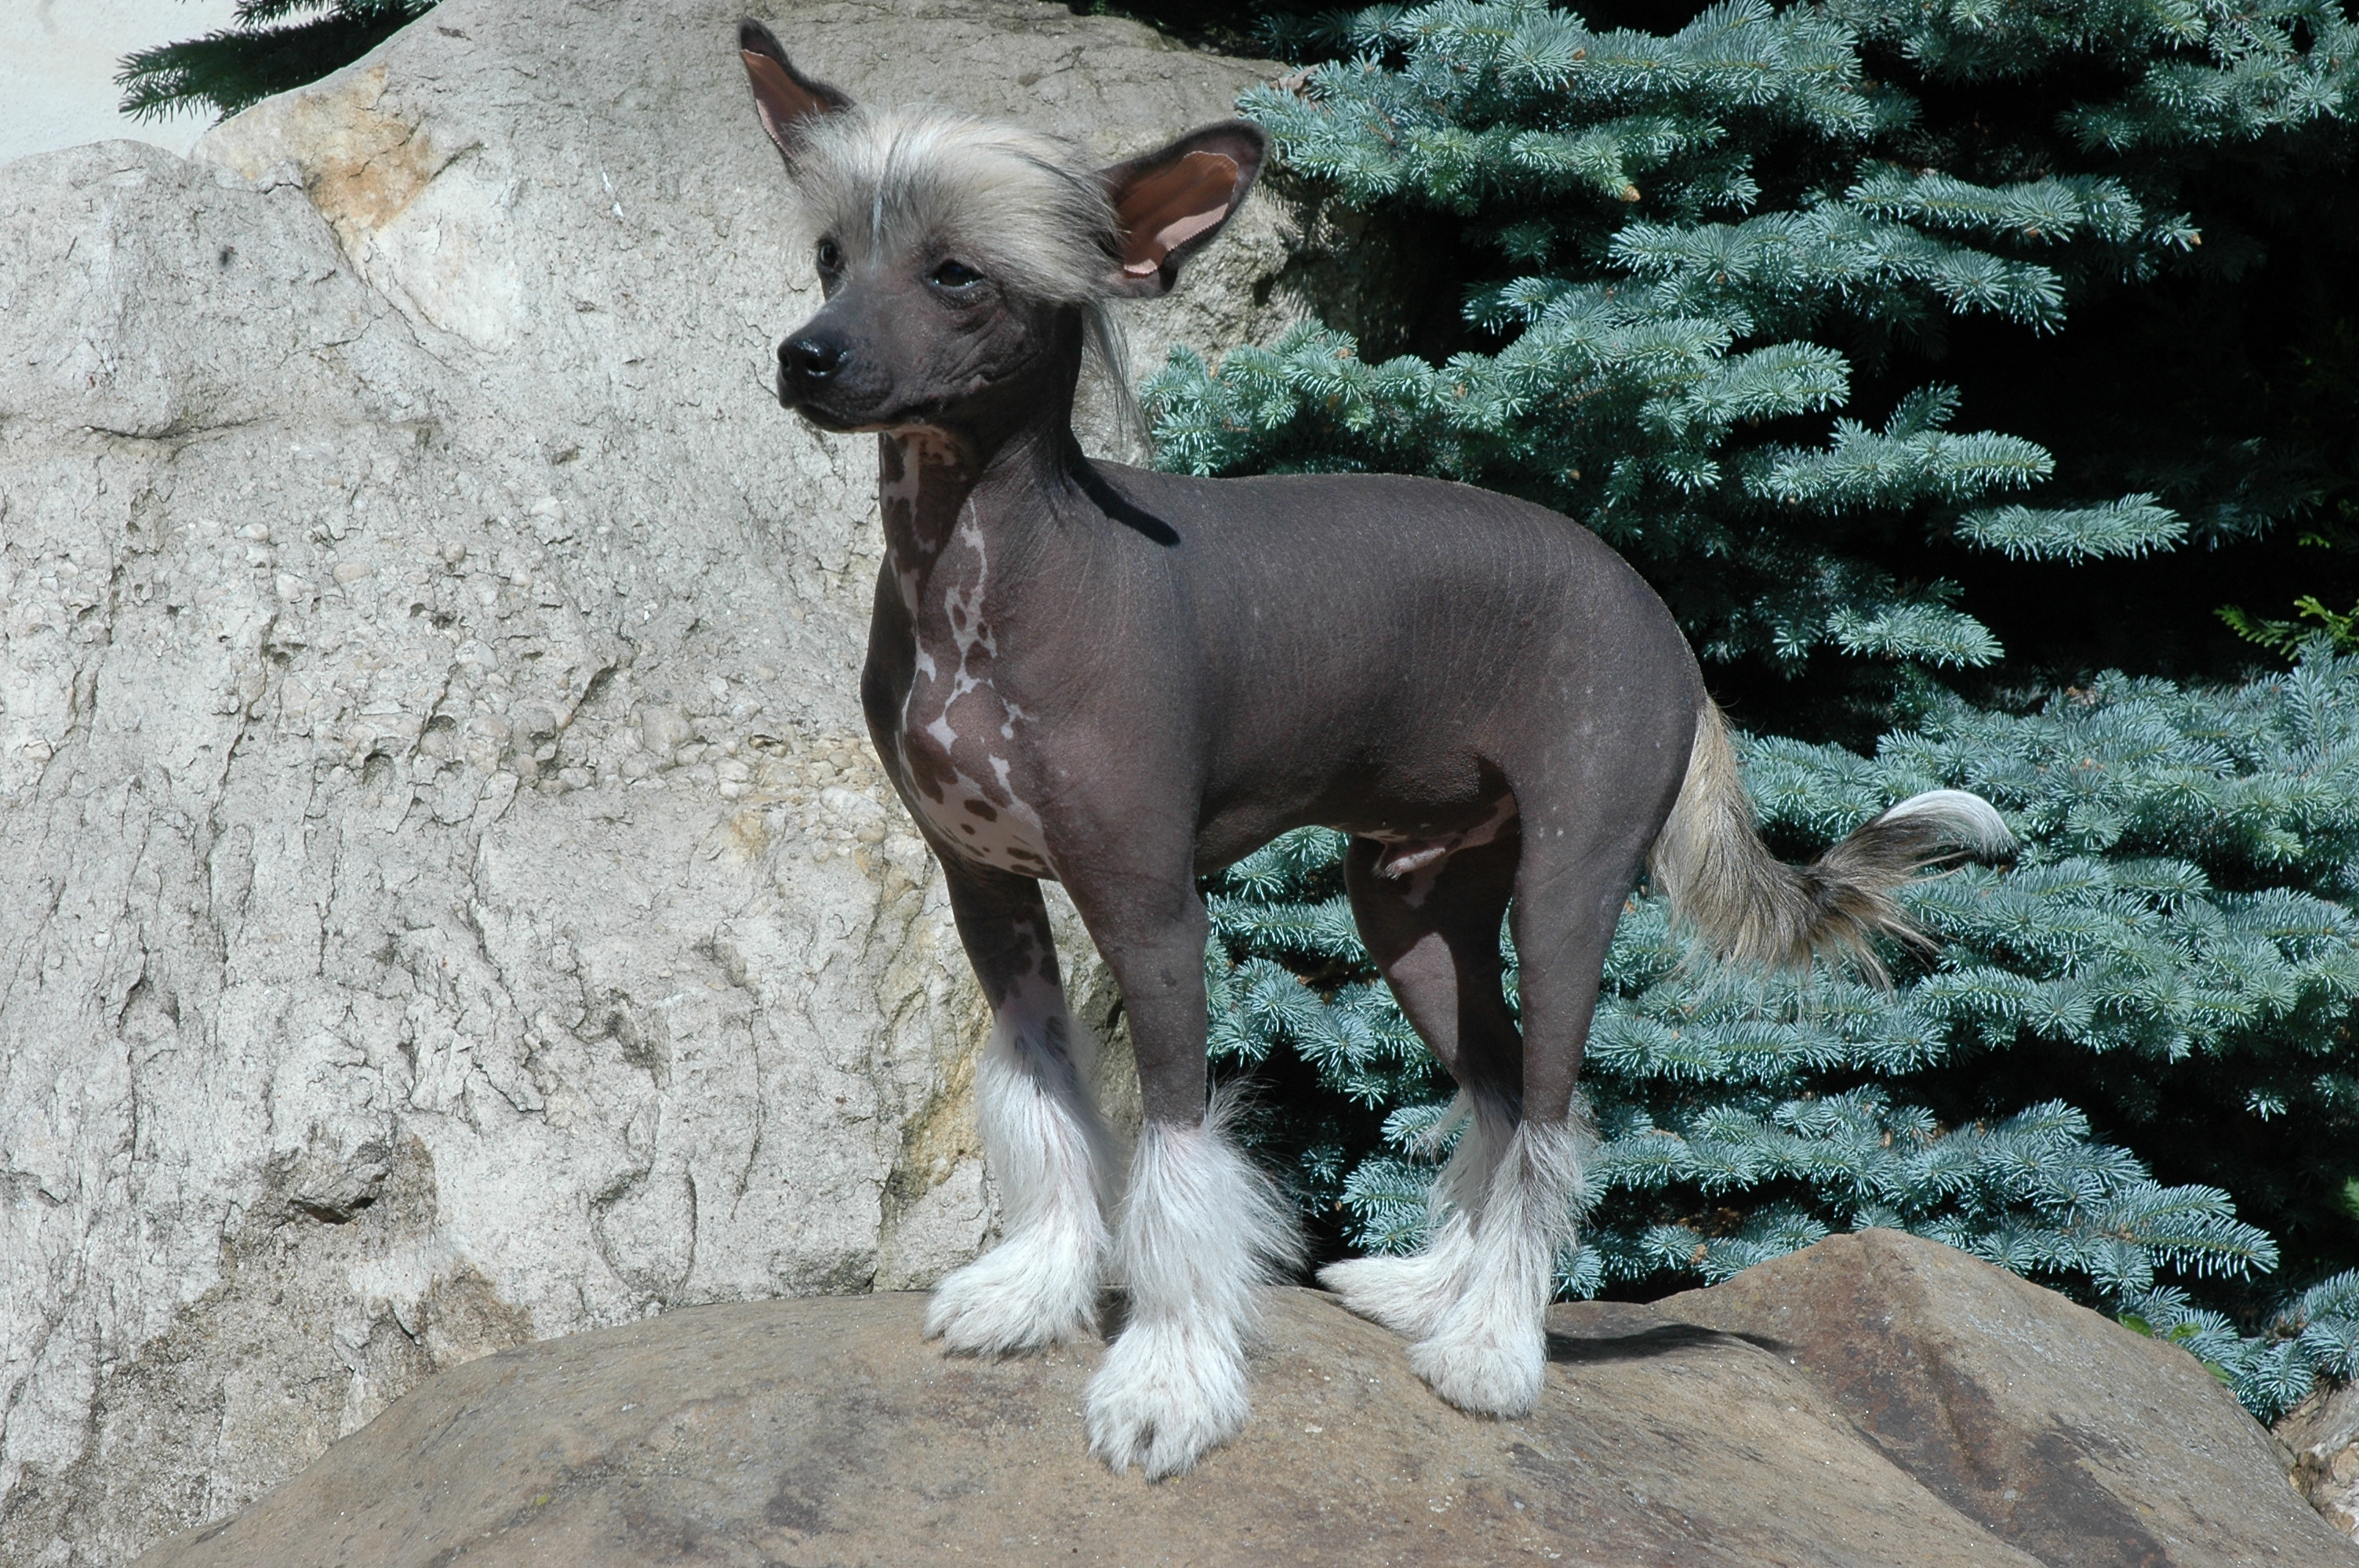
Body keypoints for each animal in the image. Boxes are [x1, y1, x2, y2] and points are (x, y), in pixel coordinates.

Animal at [736, 18, 2009, 1471]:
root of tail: (1664, 624)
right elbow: (1044, 1095)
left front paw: (1167, 1375)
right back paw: (1432, 1289)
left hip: (1563, 891)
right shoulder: (985, 888)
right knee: (1500, 1098)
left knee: (1555, 1116)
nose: (805, 356)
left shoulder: (1151, 906)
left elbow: (1178, 1146)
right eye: (831, 258)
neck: (993, 575)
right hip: (1407, 907)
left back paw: (1492, 1348)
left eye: (955, 274)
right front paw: (1035, 1288)